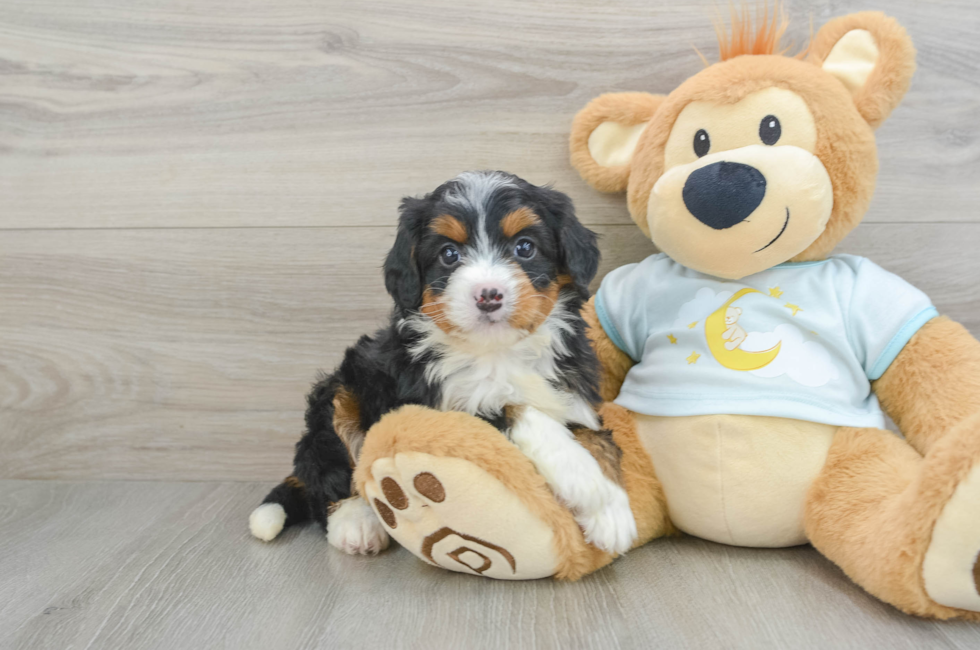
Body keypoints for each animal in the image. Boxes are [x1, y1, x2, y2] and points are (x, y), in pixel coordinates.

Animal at [249, 171, 640, 552]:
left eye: (525, 247)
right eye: (449, 254)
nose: (488, 295)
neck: (496, 353)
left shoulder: (572, 391)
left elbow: (597, 438)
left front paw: (612, 510)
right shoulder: (443, 410)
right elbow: (518, 408)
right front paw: (586, 482)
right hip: (339, 390)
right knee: (328, 467)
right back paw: (355, 521)